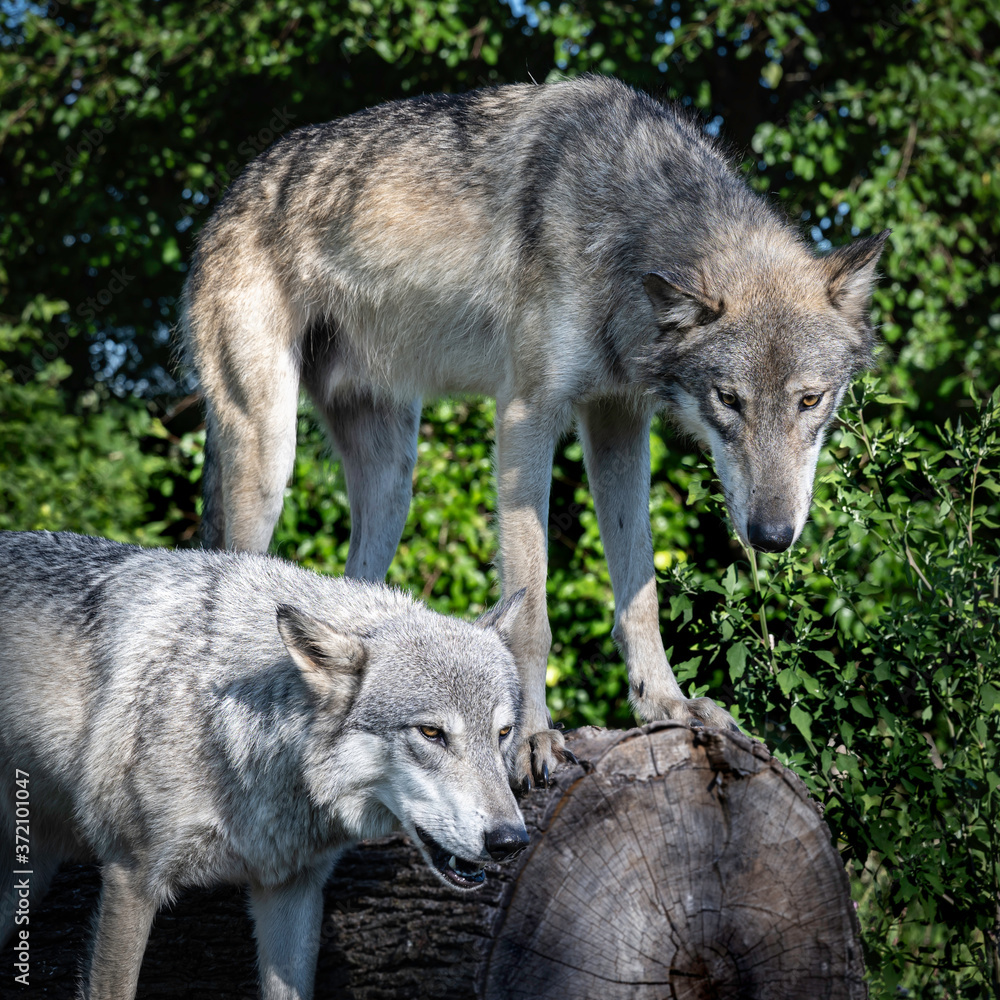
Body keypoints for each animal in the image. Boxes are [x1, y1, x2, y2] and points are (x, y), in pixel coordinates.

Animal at [180, 74, 889, 784]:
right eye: (729, 400)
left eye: (810, 400)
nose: (772, 537)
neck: (625, 222)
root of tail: (227, 198)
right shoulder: (526, 418)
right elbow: (531, 616)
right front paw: (527, 739)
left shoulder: (618, 422)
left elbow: (640, 594)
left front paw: (665, 705)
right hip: (269, 458)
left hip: (392, 483)